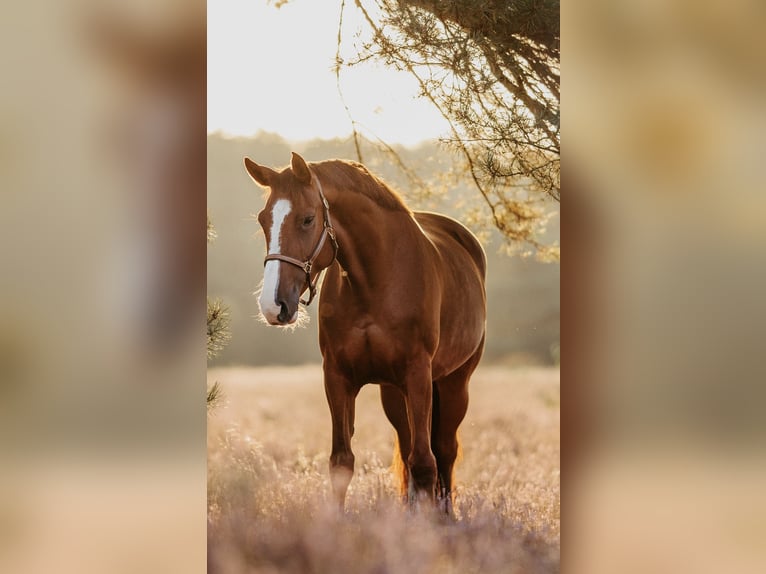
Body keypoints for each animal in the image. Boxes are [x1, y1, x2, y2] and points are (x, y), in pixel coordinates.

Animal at [244, 152, 486, 512]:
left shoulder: (418, 375)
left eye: (307, 219)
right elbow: (342, 461)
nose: (273, 305)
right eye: (263, 220)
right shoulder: (338, 377)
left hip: (454, 382)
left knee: (444, 451)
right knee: (408, 445)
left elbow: (425, 463)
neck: (375, 281)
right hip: (395, 392)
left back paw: (446, 514)